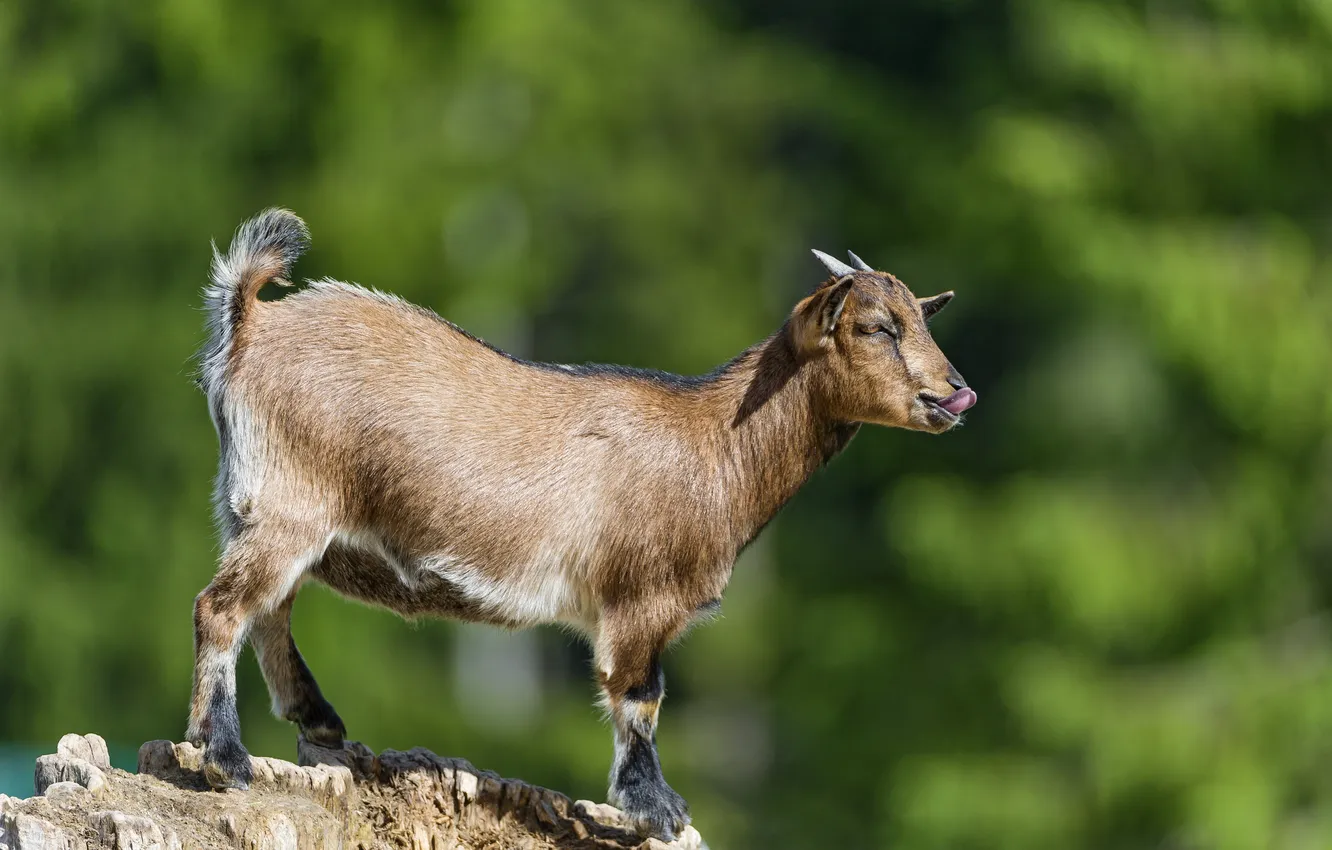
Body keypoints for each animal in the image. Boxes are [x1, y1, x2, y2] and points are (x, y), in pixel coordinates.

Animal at [188, 209, 976, 841]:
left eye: (923, 319)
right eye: (877, 327)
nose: (955, 393)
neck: (714, 442)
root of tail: (251, 323)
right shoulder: (640, 599)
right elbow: (639, 697)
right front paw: (657, 809)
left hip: (257, 511)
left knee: (269, 608)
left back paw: (317, 722)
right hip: (289, 505)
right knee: (222, 608)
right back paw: (223, 756)